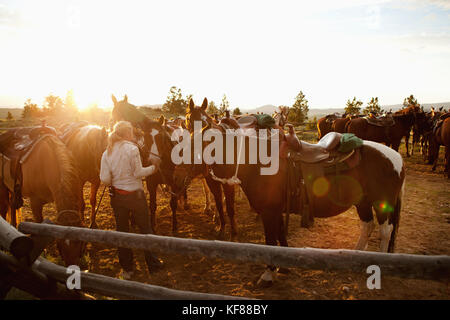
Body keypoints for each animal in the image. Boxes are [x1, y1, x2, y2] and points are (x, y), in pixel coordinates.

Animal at [0, 129, 85, 266]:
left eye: (80, 244)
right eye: (60, 246)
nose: (72, 267)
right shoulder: (35, 203)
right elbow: (39, 225)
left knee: (12, 206)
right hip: (2, 187)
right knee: (3, 209)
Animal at [173, 106, 404, 286]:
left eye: (196, 144)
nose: (175, 177)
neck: (257, 163)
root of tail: (396, 158)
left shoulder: (268, 212)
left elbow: (270, 240)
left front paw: (268, 274)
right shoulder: (275, 210)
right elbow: (279, 236)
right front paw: (283, 267)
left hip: (381, 204)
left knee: (385, 231)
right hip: (362, 202)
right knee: (368, 226)